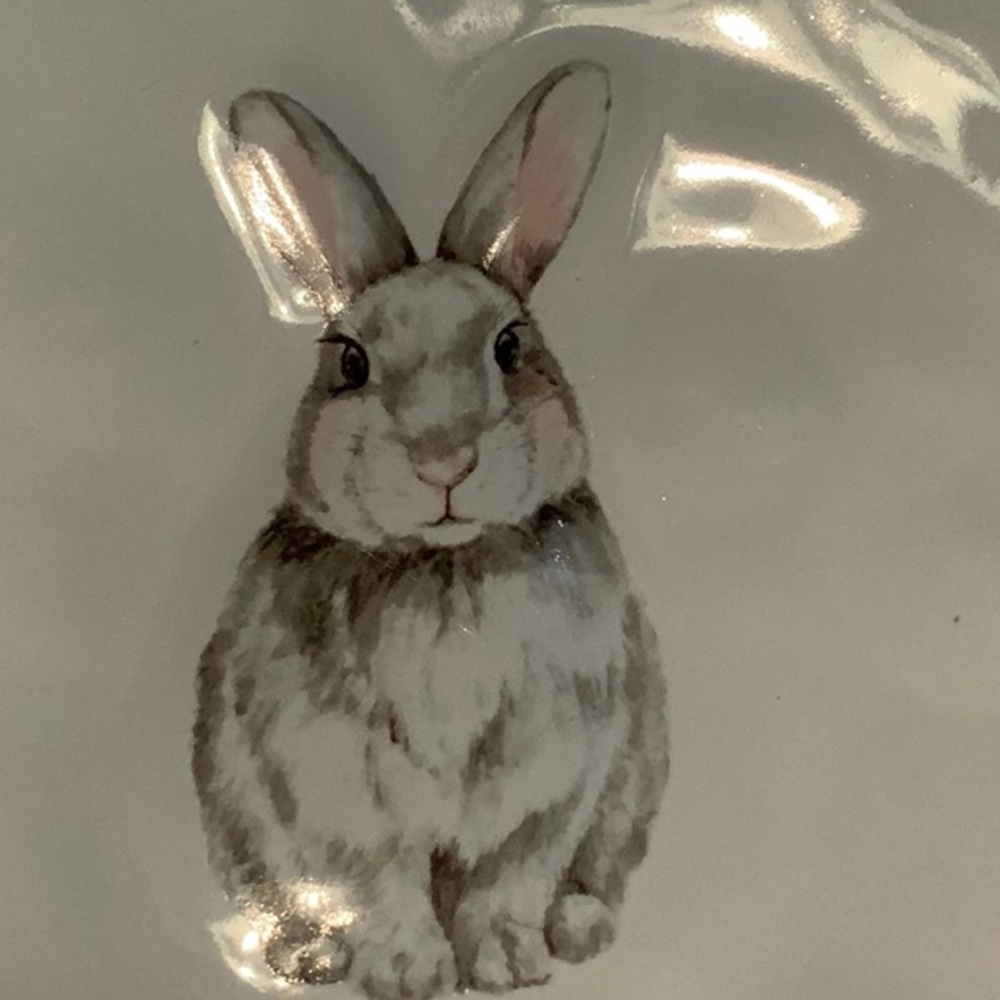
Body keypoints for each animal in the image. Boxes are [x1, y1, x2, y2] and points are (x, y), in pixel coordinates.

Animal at [192, 61, 669, 1000]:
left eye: (512, 347)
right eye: (349, 363)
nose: (443, 459)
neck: (445, 569)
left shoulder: (553, 778)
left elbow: (508, 878)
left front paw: (507, 964)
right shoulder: (334, 783)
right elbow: (383, 880)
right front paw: (410, 971)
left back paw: (579, 928)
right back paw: (306, 955)